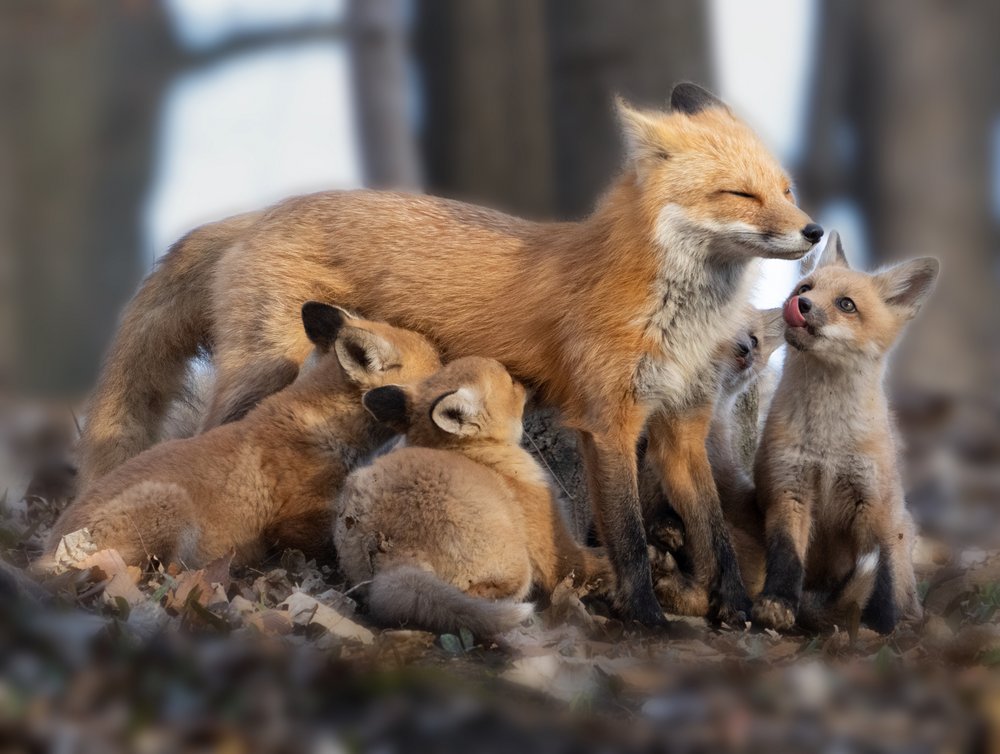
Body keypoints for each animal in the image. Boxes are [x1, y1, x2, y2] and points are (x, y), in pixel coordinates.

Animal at [334, 356, 612, 637]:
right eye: (510, 381)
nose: (529, 382)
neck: (477, 454)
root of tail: (394, 550)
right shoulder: (556, 550)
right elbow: (592, 563)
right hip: (517, 567)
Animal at [751, 232, 937, 634]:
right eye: (805, 288)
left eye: (846, 304)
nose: (800, 305)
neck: (828, 445)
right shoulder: (789, 490)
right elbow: (787, 556)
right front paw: (778, 603)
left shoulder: (874, 506)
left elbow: (881, 574)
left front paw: (879, 624)